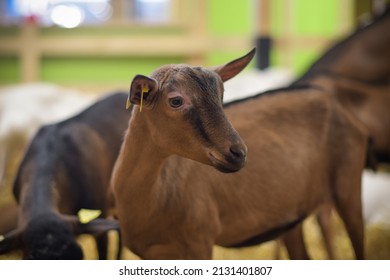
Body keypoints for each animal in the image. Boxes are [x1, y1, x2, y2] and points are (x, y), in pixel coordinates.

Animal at [111, 48, 368, 260]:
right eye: (175, 101)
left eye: (221, 95)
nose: (238, 153)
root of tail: (331, 100)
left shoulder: (199, 242)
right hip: (291, 216)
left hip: (348, 186)